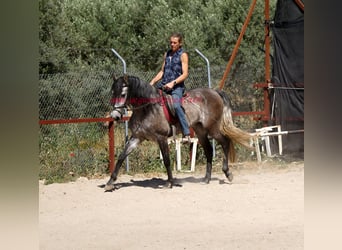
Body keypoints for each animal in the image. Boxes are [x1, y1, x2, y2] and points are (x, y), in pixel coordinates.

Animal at [105, 74, 252, 191]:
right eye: (112, 93)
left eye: (123, 94)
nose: (115, 116)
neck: (147, 109)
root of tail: (215, 92)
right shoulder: (137, 137)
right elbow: (121, 157)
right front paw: (110, 182)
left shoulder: (161, 138)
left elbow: (167, 160)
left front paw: (169, 183)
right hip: (200, 131)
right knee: (209, 151)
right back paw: (206, 179)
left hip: (213, 128)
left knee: (225, 142)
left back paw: (227, 173)